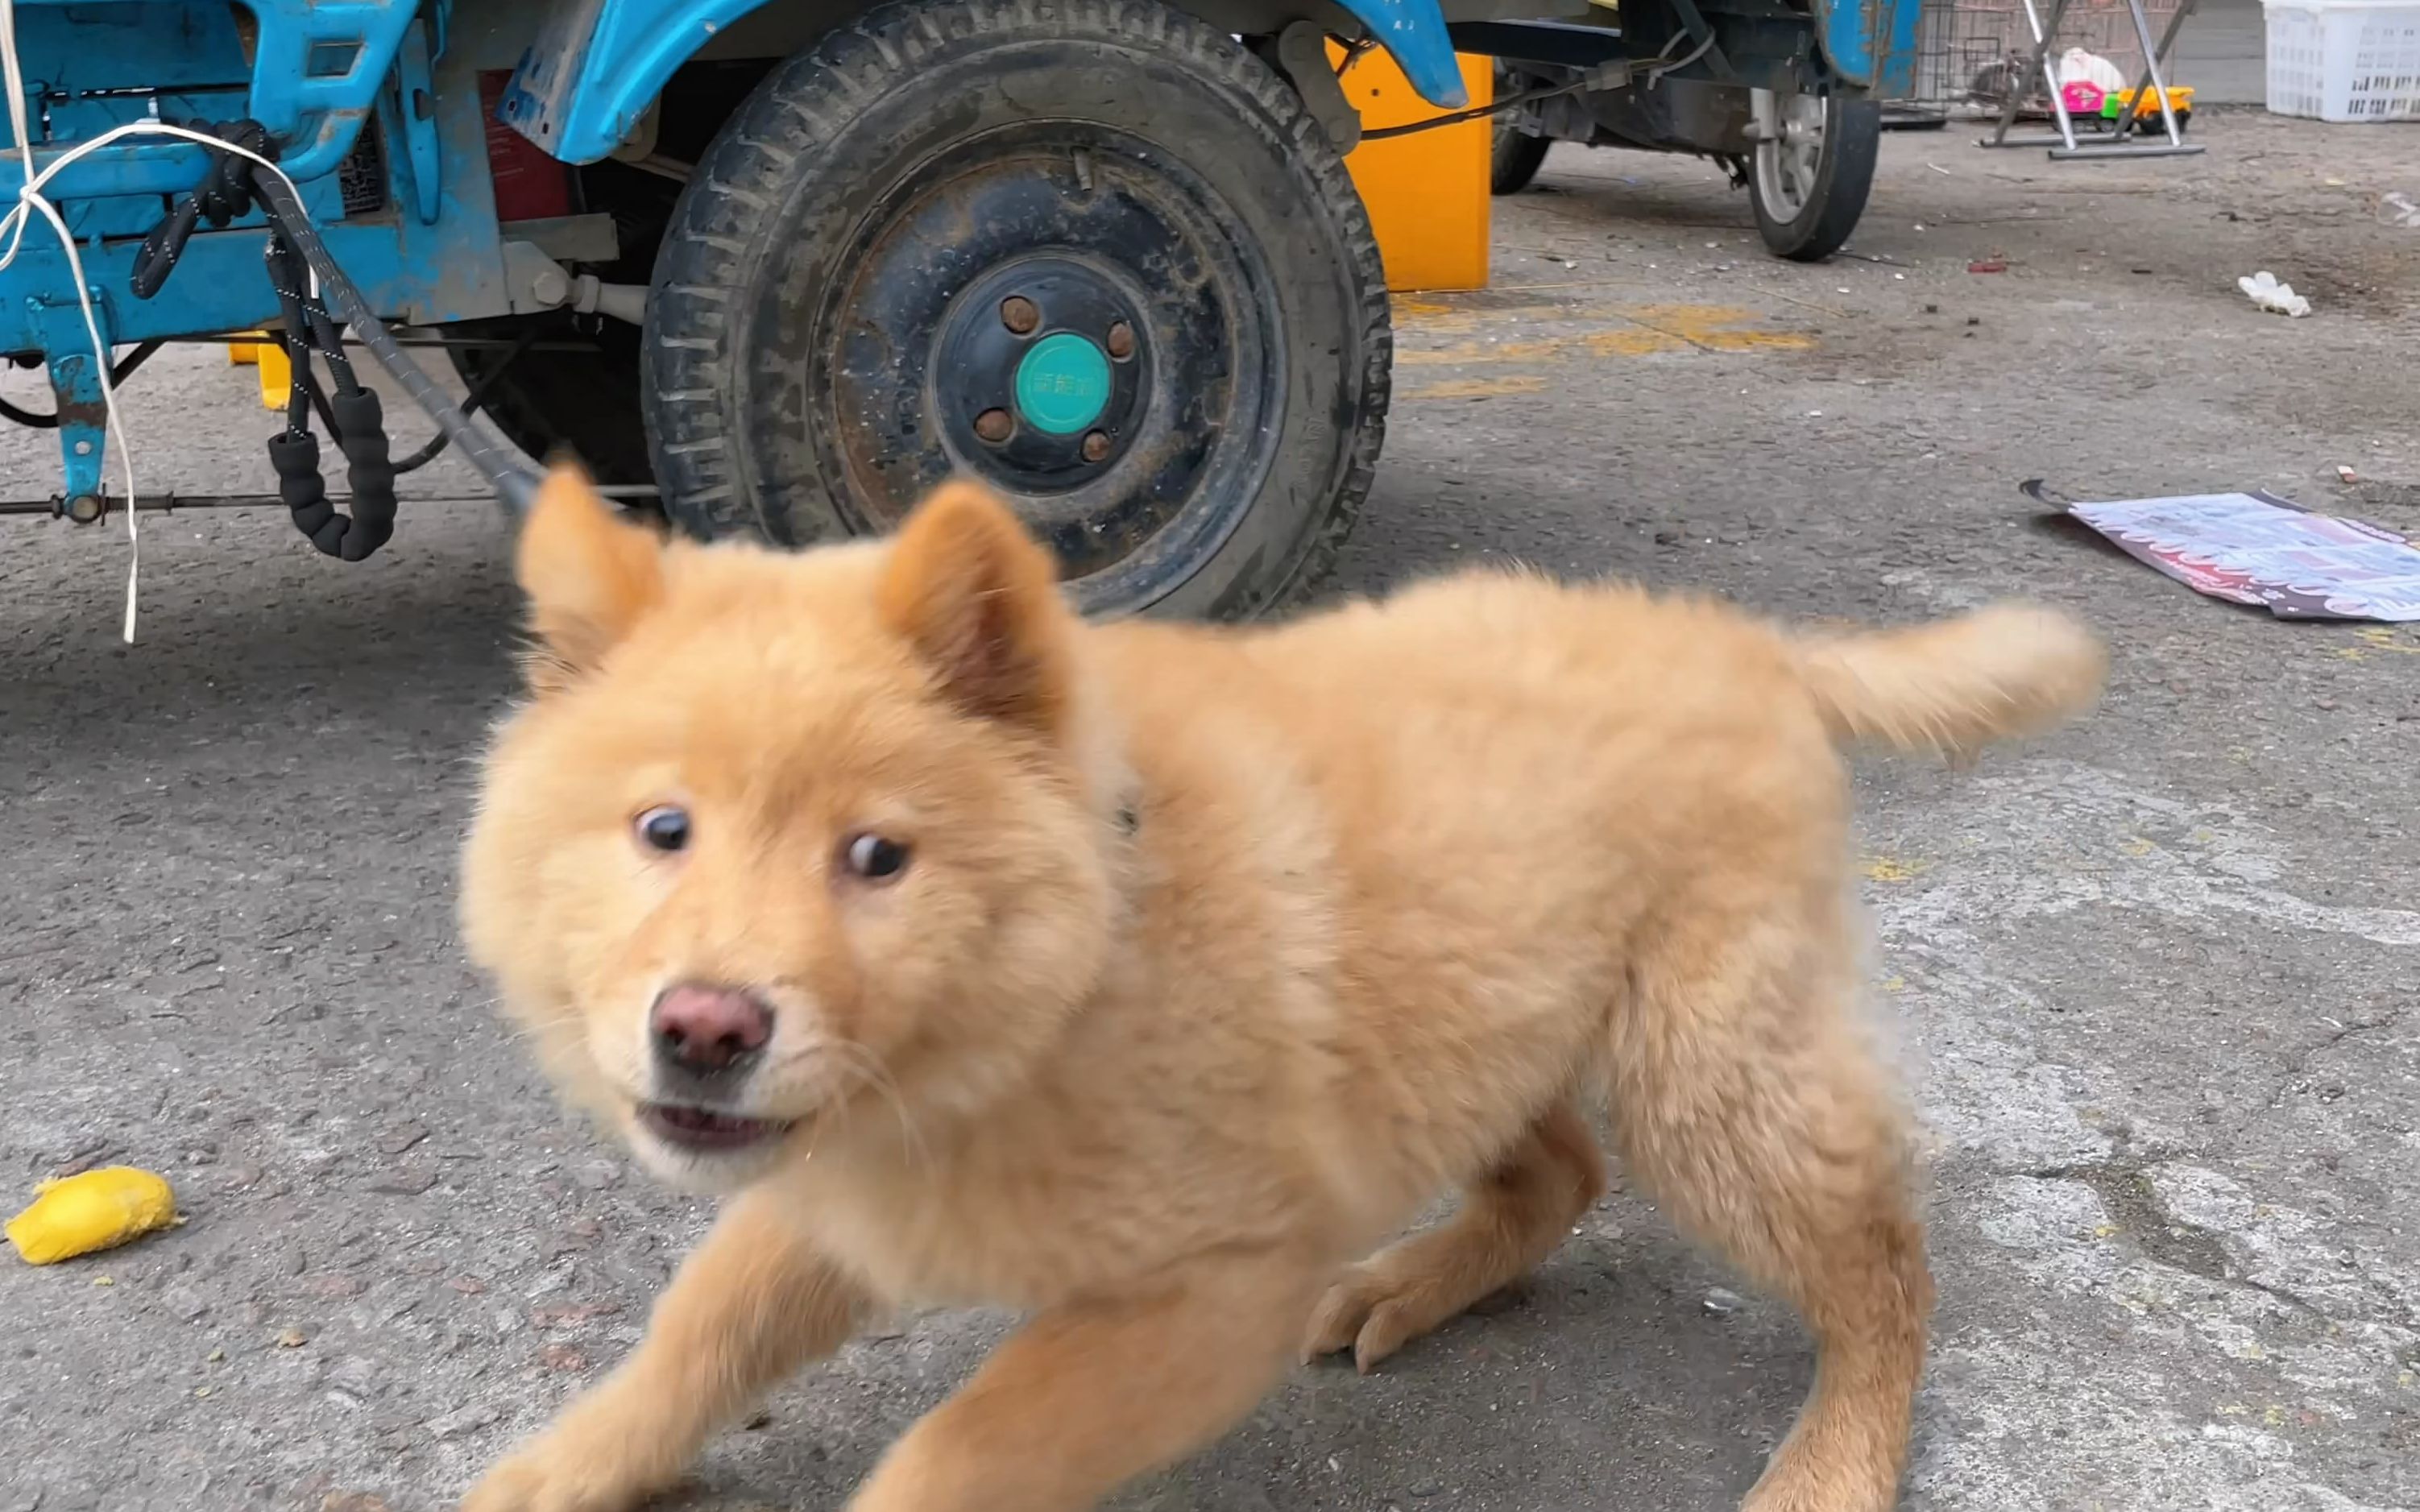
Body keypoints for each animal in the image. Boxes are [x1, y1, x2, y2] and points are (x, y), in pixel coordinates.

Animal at [454, 466, 2100, 1509]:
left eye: (878, 857)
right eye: (662, 830)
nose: (704, 1032)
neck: (1070, 976)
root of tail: (1740, 641)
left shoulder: (1209, 1292)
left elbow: (954, 1452)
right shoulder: (837, 1176)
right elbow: (695, 1336)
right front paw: (561, 1469)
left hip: (1704, 1071)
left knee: (1883, 1269)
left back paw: (1836, 1460)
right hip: (1465, 1013)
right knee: (1560, 1172)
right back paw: (1415, 1281)